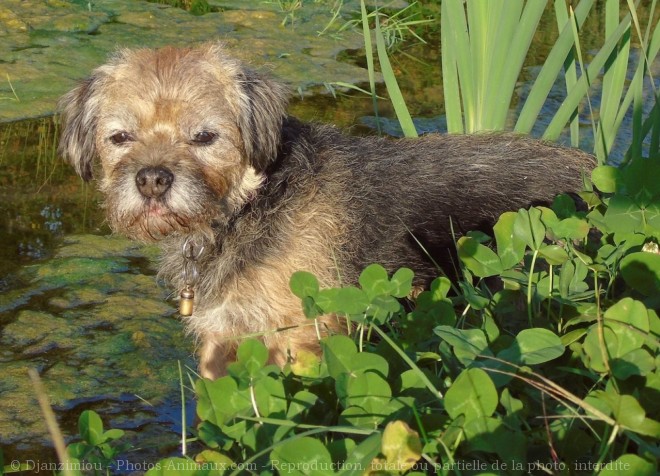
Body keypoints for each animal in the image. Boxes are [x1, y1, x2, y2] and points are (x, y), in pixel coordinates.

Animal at [59, 43, 596, 380]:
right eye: (120, 137)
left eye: (205, 137)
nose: (151, 179)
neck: (248, 206)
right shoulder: (223, 341)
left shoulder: (304, 338)